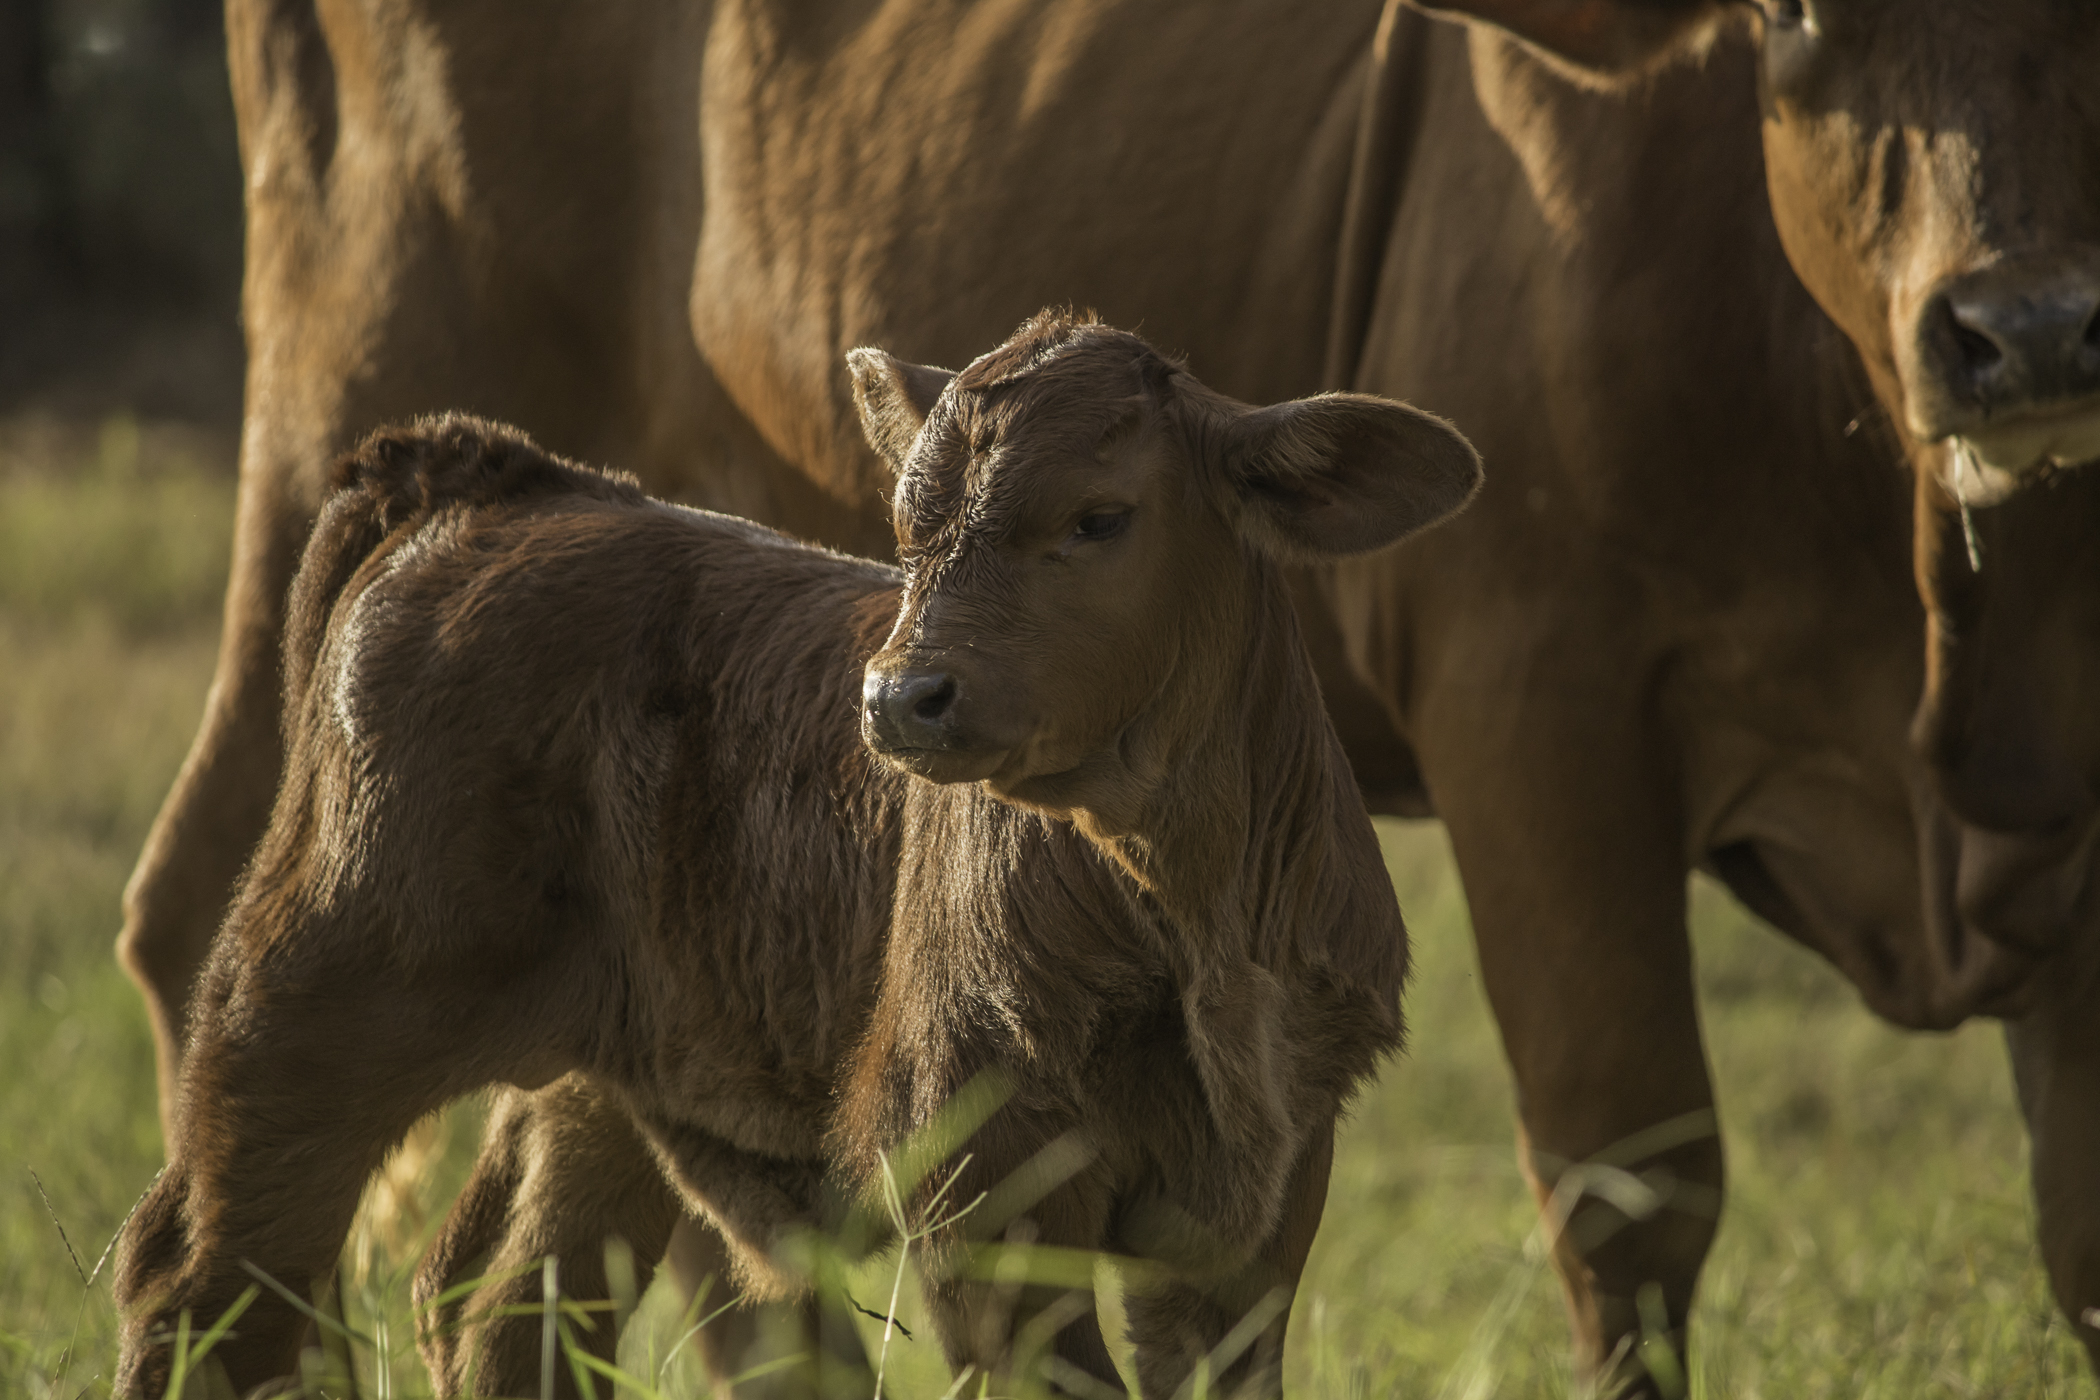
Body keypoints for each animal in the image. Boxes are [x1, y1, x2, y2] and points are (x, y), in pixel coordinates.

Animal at [110, 312, 1478, 1393]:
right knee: (204, 1280)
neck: (1187, 908)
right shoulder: (975, 1166)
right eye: (908, 529)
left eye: (1101, 518)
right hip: (317, 988)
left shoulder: (1263, 1194)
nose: (899, 697)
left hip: (607, 1072)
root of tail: (507, 482)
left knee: (504, 1302)